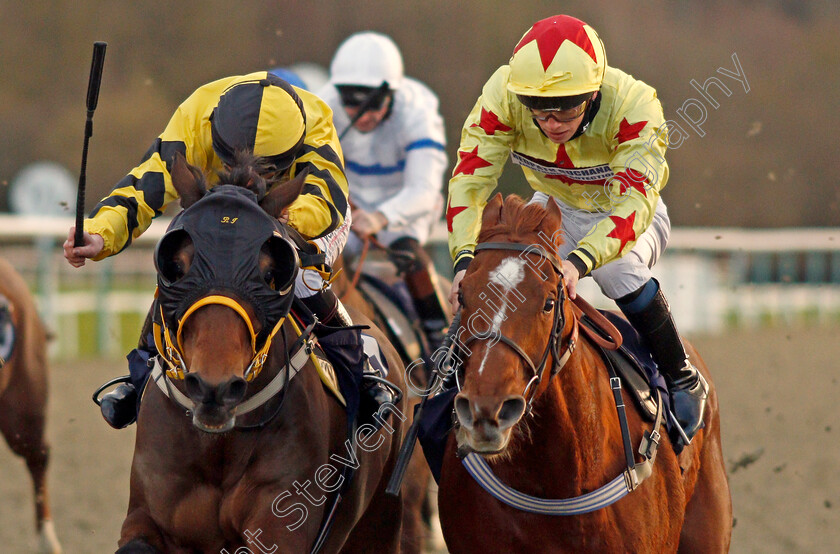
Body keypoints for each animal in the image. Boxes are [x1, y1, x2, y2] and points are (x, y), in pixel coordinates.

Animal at [117, 153, 406, 548]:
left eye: (272, 272)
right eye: (175, 265)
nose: (214, 388)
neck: (219, 447)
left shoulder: (282, 520)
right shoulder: (149, 511)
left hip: (379, 522)